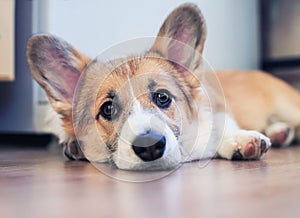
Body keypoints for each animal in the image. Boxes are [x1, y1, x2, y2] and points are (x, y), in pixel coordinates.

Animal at [26, 3, 300, 170]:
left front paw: (241, 140)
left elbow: (220, 128)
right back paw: (280, 132)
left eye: (162, 97)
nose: (150, 148)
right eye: (107, 109)